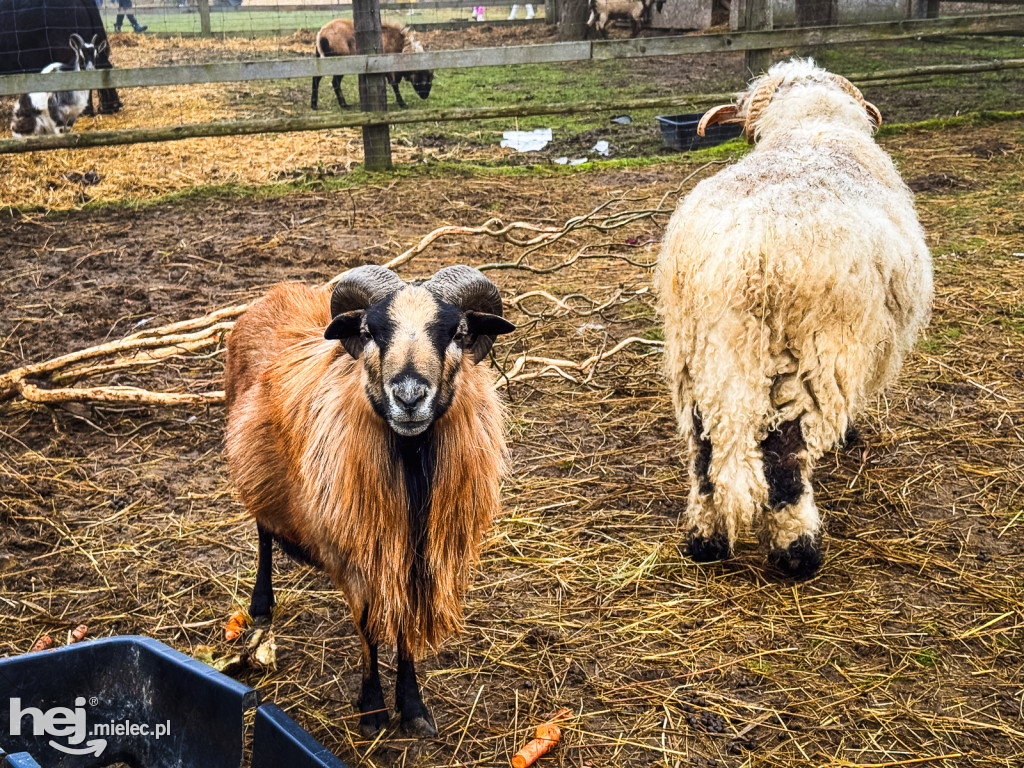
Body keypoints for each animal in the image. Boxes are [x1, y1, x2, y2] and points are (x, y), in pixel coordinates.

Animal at [655, 58, 937, 577]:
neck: (812, 126)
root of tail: (739, 260)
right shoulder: (859, 346)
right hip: (806, 357)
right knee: (785, 456)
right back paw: (797, 549)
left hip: (695, 354)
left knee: (705, 447)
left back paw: (706, 539)